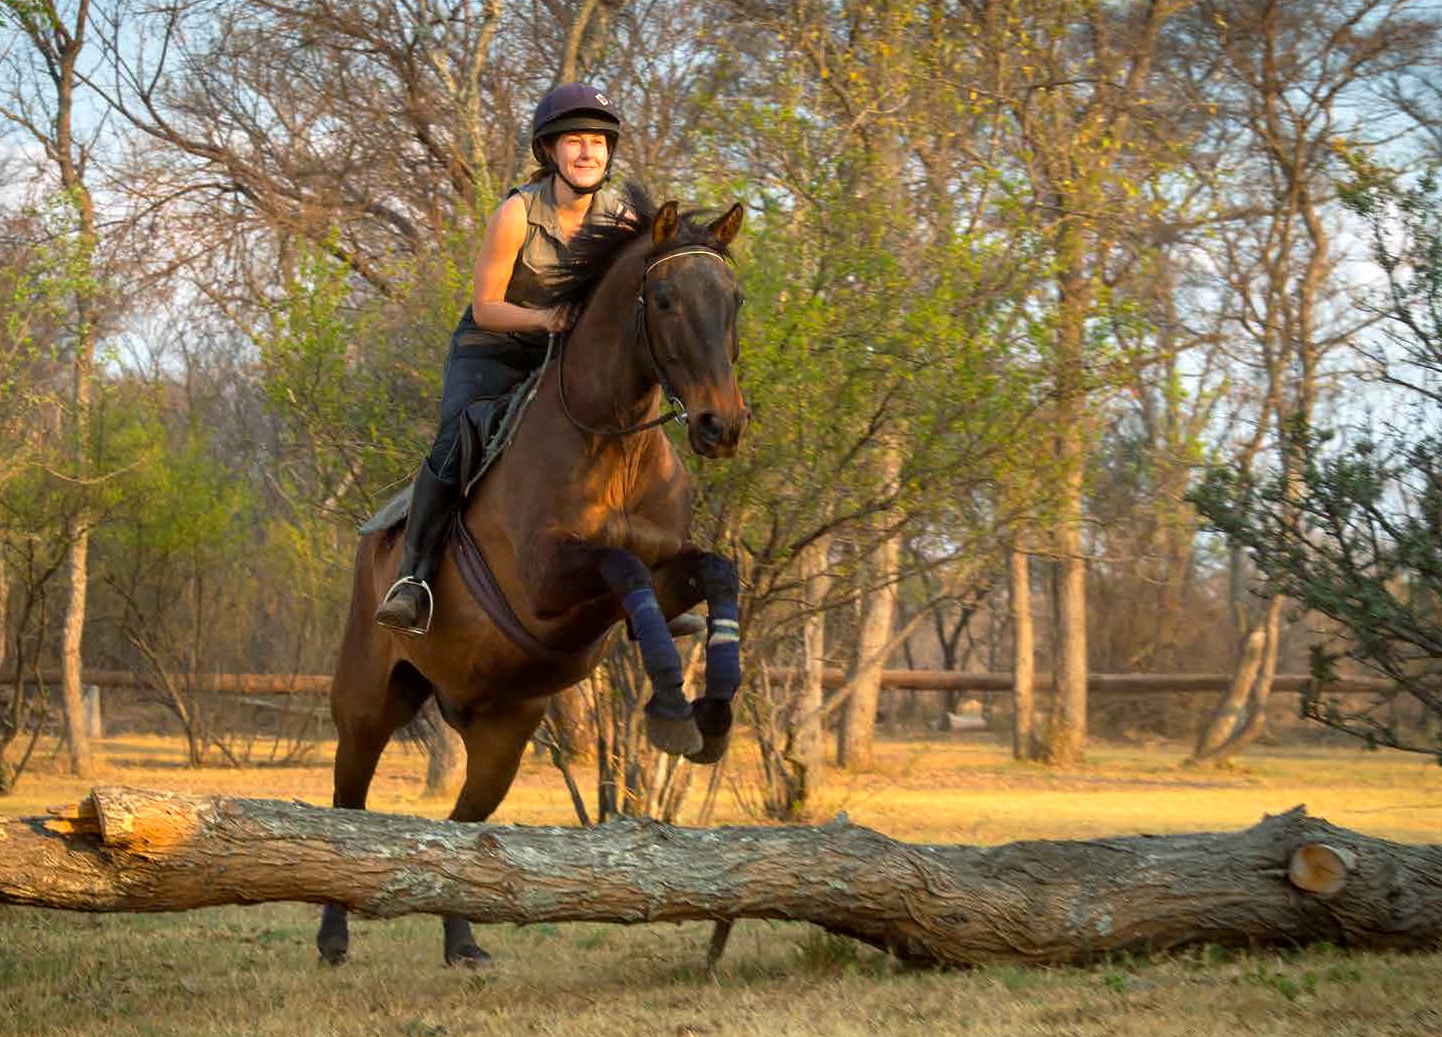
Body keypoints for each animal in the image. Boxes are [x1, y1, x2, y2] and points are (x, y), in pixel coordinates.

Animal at [315, 188, 750, 967]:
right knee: (348, 803)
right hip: (368, 700)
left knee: (466, 825)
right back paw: (334, 934)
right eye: (665, 299)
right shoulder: (548, 583)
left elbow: (715, 572)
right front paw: (673, 707)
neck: (614, 442)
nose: (721, 426)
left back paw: (463, 941)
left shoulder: (666, 572)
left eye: (733, 300)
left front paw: (714, 710)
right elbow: (621, 565)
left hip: (503, 727)